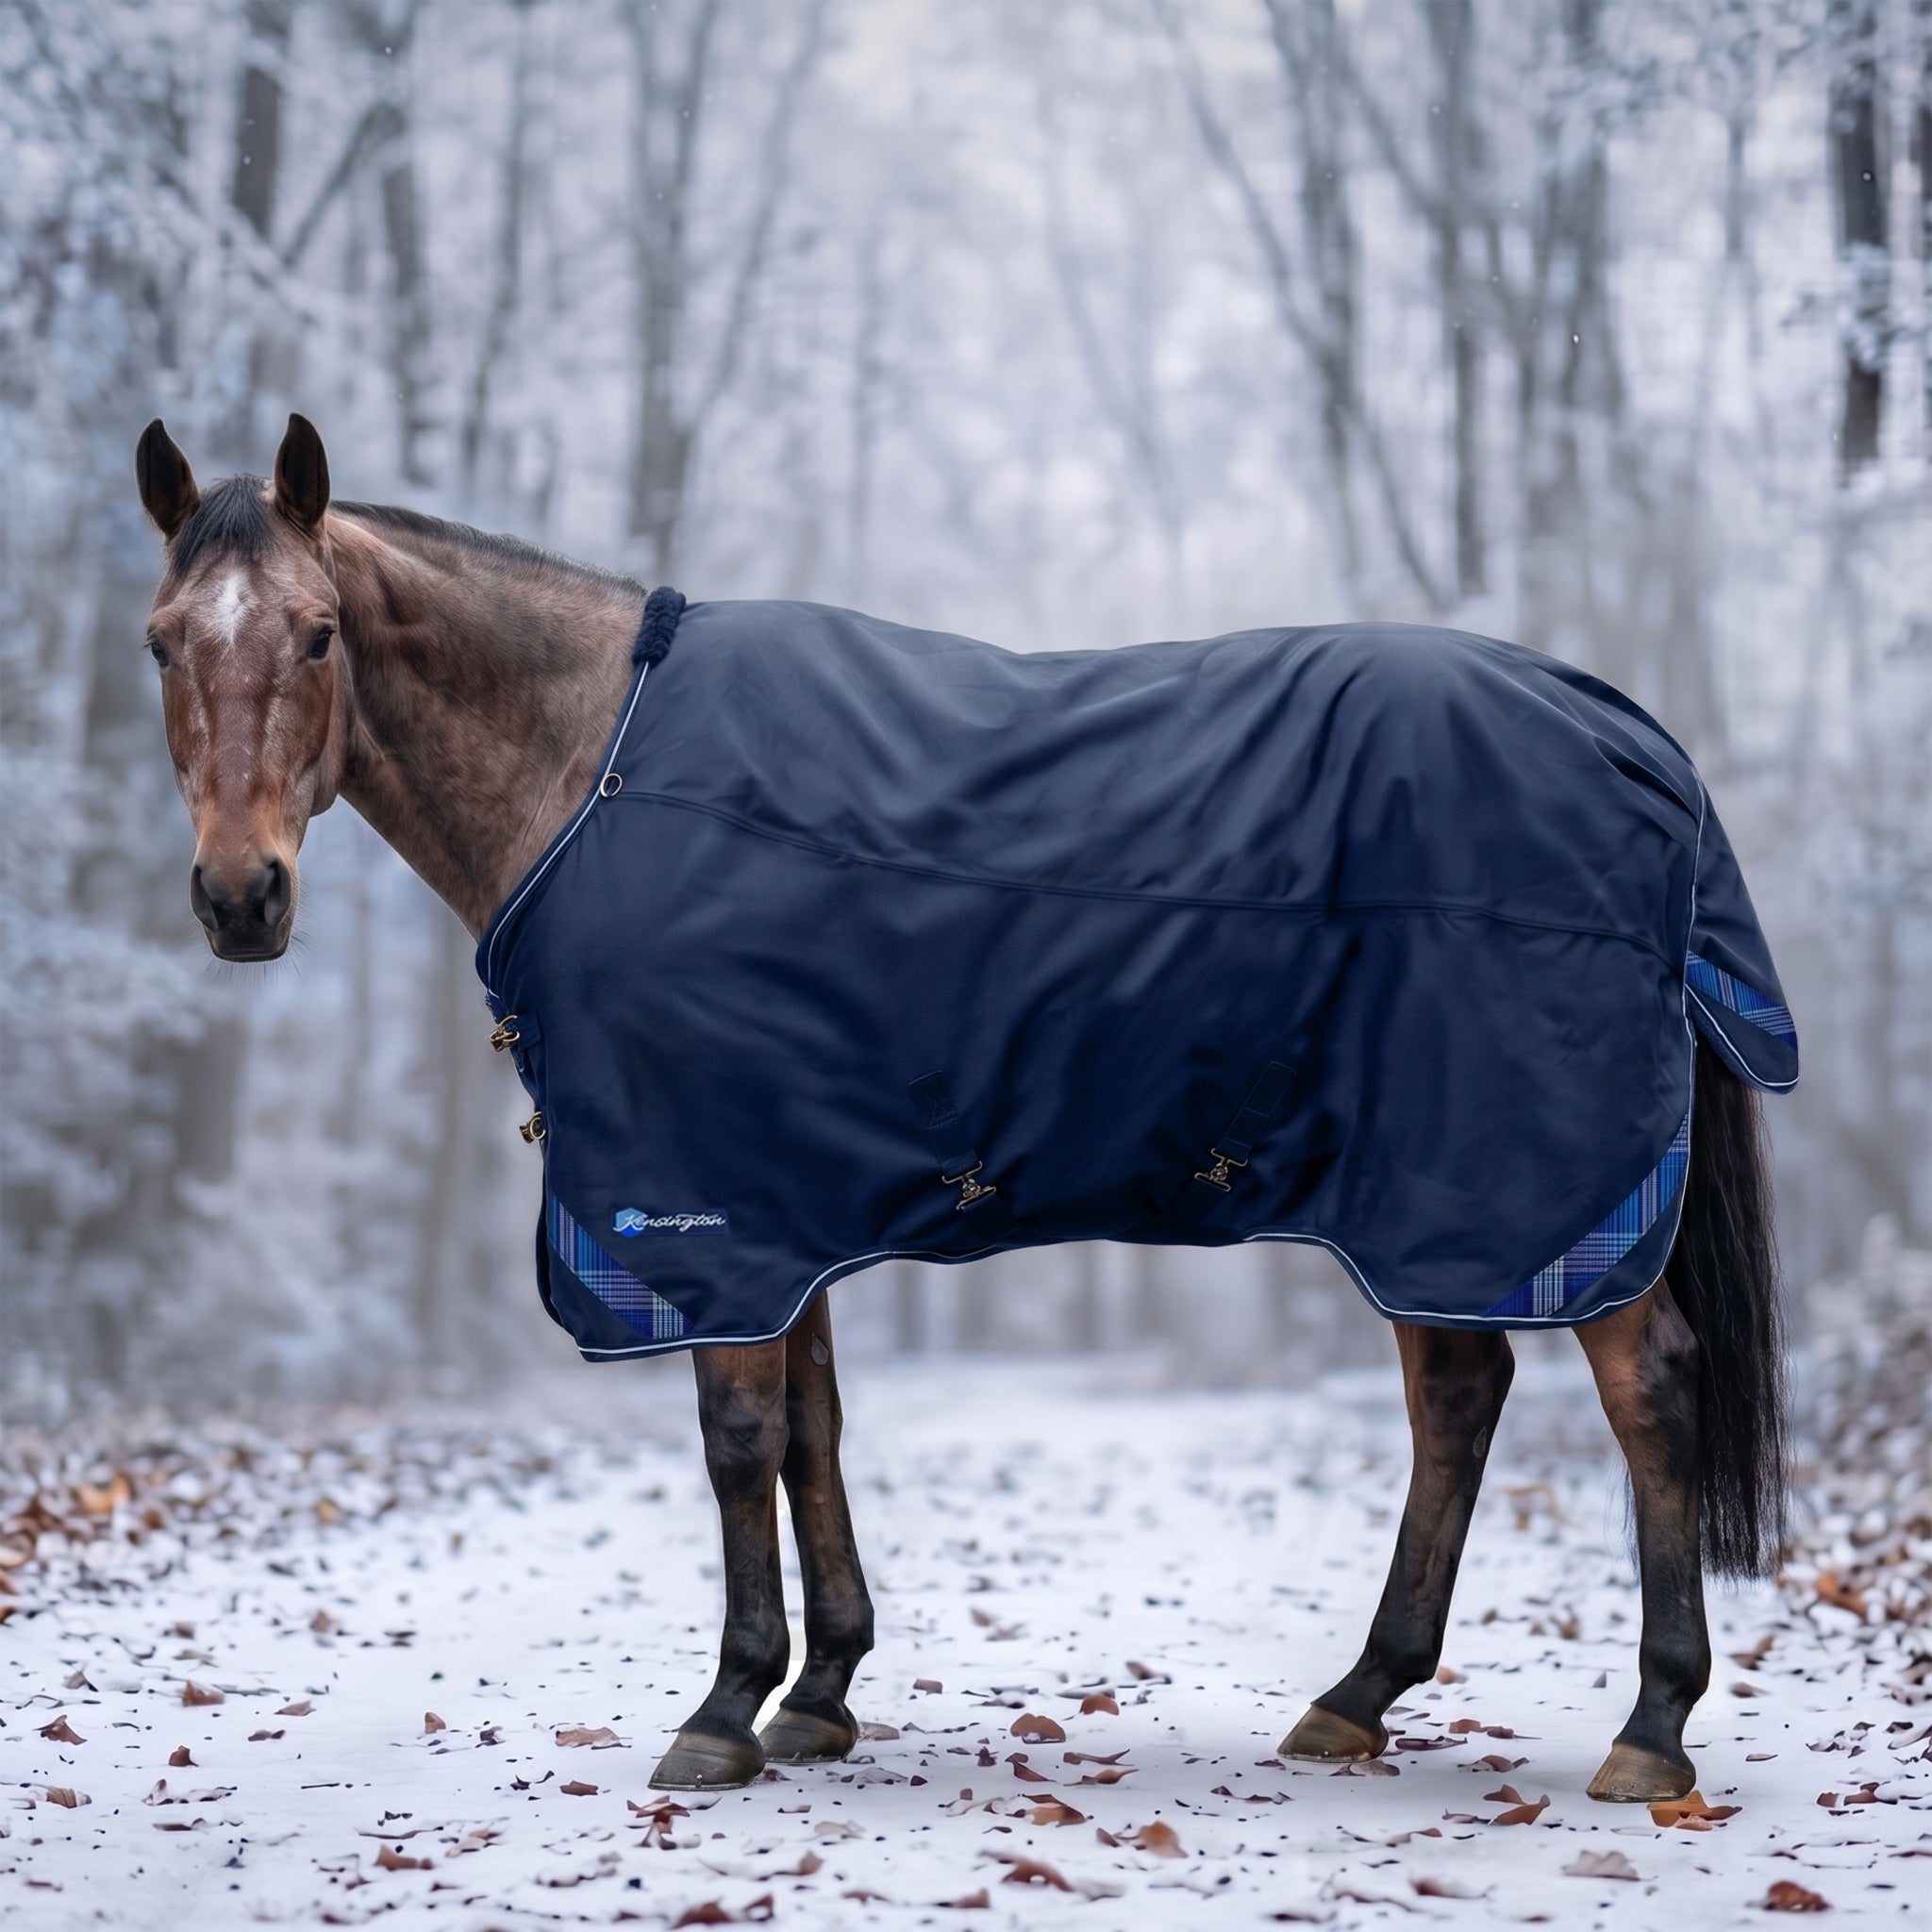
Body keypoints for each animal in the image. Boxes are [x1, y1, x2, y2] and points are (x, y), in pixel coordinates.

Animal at [134, 412, 1790, 1805]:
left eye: (319, 632)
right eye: (159, 643)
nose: (238, 898)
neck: (594, 769)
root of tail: (1632, 738)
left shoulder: (704, 1209)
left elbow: (737, 1440)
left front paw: (724, 1711)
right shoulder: (777, 1200)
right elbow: (810, 1430)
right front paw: (819, 1693)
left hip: (1532, 1183)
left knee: (1647, 1393)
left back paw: (1651, 1728)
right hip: (1435, 1197)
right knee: (1459, 1397)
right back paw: (1358, 1697)